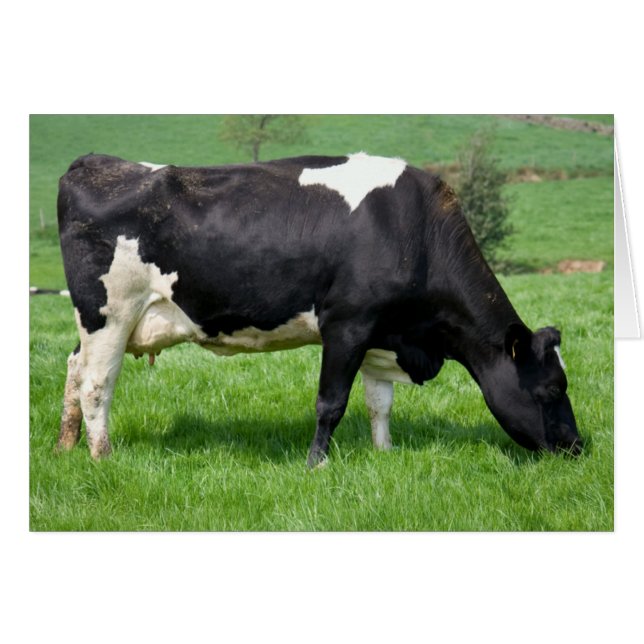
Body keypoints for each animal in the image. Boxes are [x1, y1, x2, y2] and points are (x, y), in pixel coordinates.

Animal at [55, 152, 582, 467]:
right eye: (551, 389)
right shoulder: (346, 324)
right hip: (110, 314)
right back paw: (102, 457)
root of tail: (95, 163)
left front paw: (384, 453)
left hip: (96, 323)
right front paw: (317, 464)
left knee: (74, 368)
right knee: (97, 384)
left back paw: (66, 444)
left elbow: (379, 402)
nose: (578, 447)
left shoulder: (380, 332)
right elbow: (331, 403)